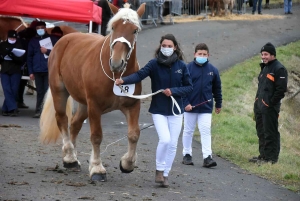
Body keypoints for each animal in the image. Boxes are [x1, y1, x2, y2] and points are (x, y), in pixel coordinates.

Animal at [39, 2, 145, 182]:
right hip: (60, 91)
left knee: (74, 124)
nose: (116, 62)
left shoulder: (132, 105)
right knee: (62, 119)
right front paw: (97, 168)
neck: (116, 76)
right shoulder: (94, 106)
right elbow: (96, 136)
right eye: (113, 27)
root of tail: (66, 39)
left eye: (135, 30)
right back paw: (70, 157)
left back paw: (71, 157)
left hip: (84, 103)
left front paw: (127, 163)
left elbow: (134, 134)